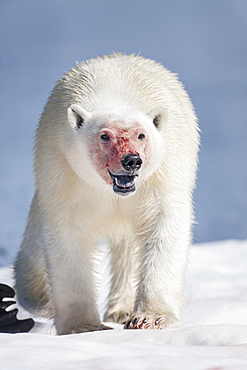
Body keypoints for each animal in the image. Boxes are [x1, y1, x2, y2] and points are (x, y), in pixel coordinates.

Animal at [13, 53, 200, 334]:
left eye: (141, 134)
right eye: (104, 136)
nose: (131, 160)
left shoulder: (165, 171)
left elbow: (163, 225)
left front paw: (151, 318)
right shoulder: (63, 169)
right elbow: (68, 233)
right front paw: (84, 326)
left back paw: (121, 310)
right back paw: (39, 298)